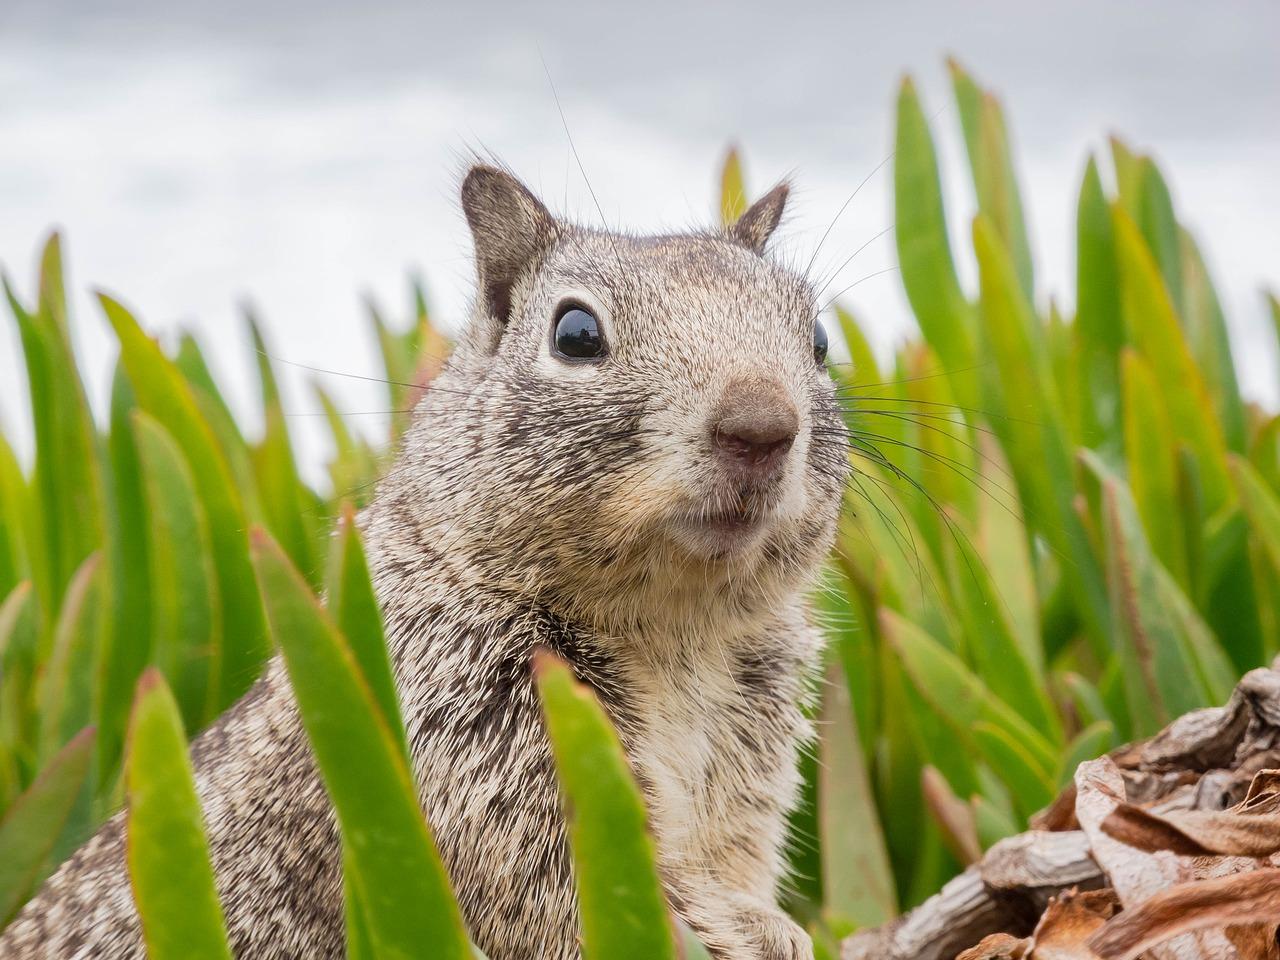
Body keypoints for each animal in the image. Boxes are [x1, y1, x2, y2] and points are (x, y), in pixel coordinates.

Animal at [7, 165, 860, 960]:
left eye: (819, 339)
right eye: (576, 334)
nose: (760, 426)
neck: (673, 628)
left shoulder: (749, 753)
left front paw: (773, 925)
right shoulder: (470, 743)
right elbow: (585, 898)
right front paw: (740, 933)